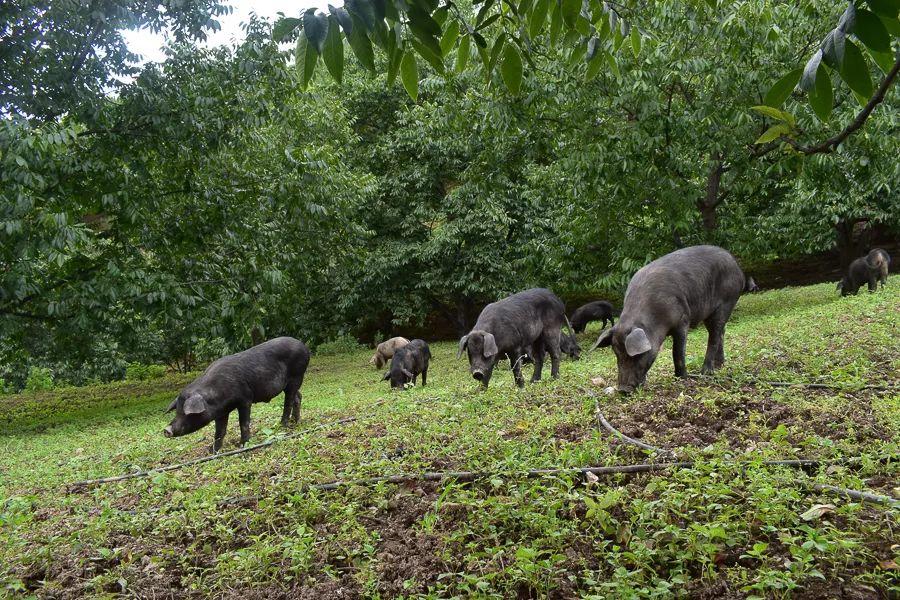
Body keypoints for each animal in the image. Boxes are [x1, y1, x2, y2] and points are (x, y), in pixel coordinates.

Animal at [163, 338, 312, 450]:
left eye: (186, 413)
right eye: (177, 410)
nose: (166, 429)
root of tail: (304, 346)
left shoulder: (245, 400)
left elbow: (243, 423)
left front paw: (243, 445)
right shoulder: (221, 412)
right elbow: (219, 431)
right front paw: (213, 451)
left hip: (296, 375)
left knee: (289, 401)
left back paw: (283, 425)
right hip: (291, 383)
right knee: (297, 397)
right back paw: (296, 421)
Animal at [592, 244, 744, 394]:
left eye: (636, 356)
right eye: (617, 354)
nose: (623, 390)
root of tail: (735, 264)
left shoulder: (683, 320)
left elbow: (677, 351)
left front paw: (681, 378)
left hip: (726, 301)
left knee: (714, 336)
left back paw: (706, 372)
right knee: (721, 332)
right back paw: (719, 365)